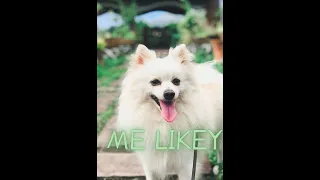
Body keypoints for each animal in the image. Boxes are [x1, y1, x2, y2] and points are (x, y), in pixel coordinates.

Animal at [115, 44, 222, 180]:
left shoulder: (186, 164)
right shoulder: (150, 163)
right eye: (155, 82)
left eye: (176, 81)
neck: (164, 124)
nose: (169, 93)